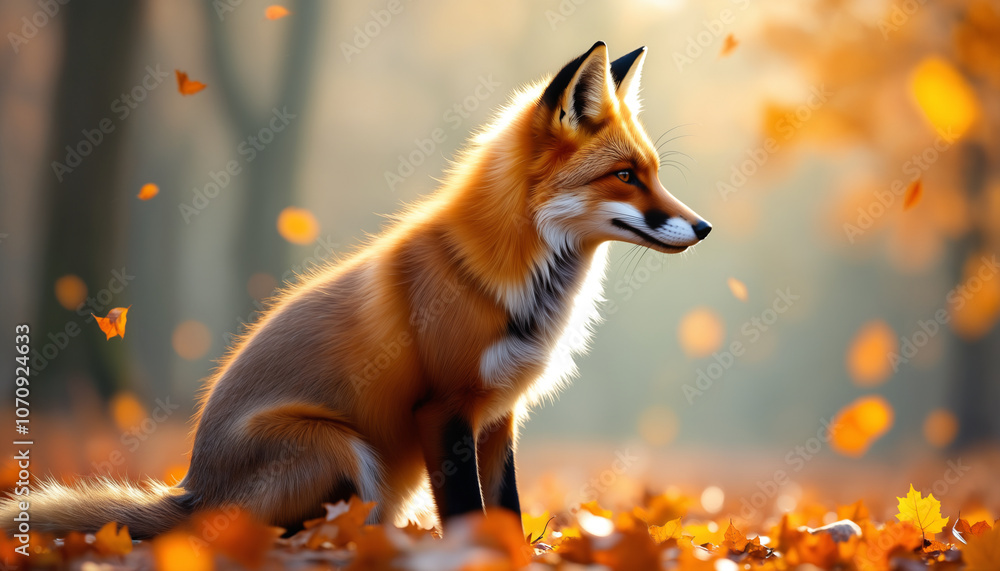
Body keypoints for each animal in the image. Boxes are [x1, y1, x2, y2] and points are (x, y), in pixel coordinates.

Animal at [4, 41, 711, 539]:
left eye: (653, 173)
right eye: (625, 176)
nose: (704, 227)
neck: (509, 283)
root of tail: (192, 491)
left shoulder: (498, 415)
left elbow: (505, 509)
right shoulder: (443, 408)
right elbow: (466, 513)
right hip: (342, 448)